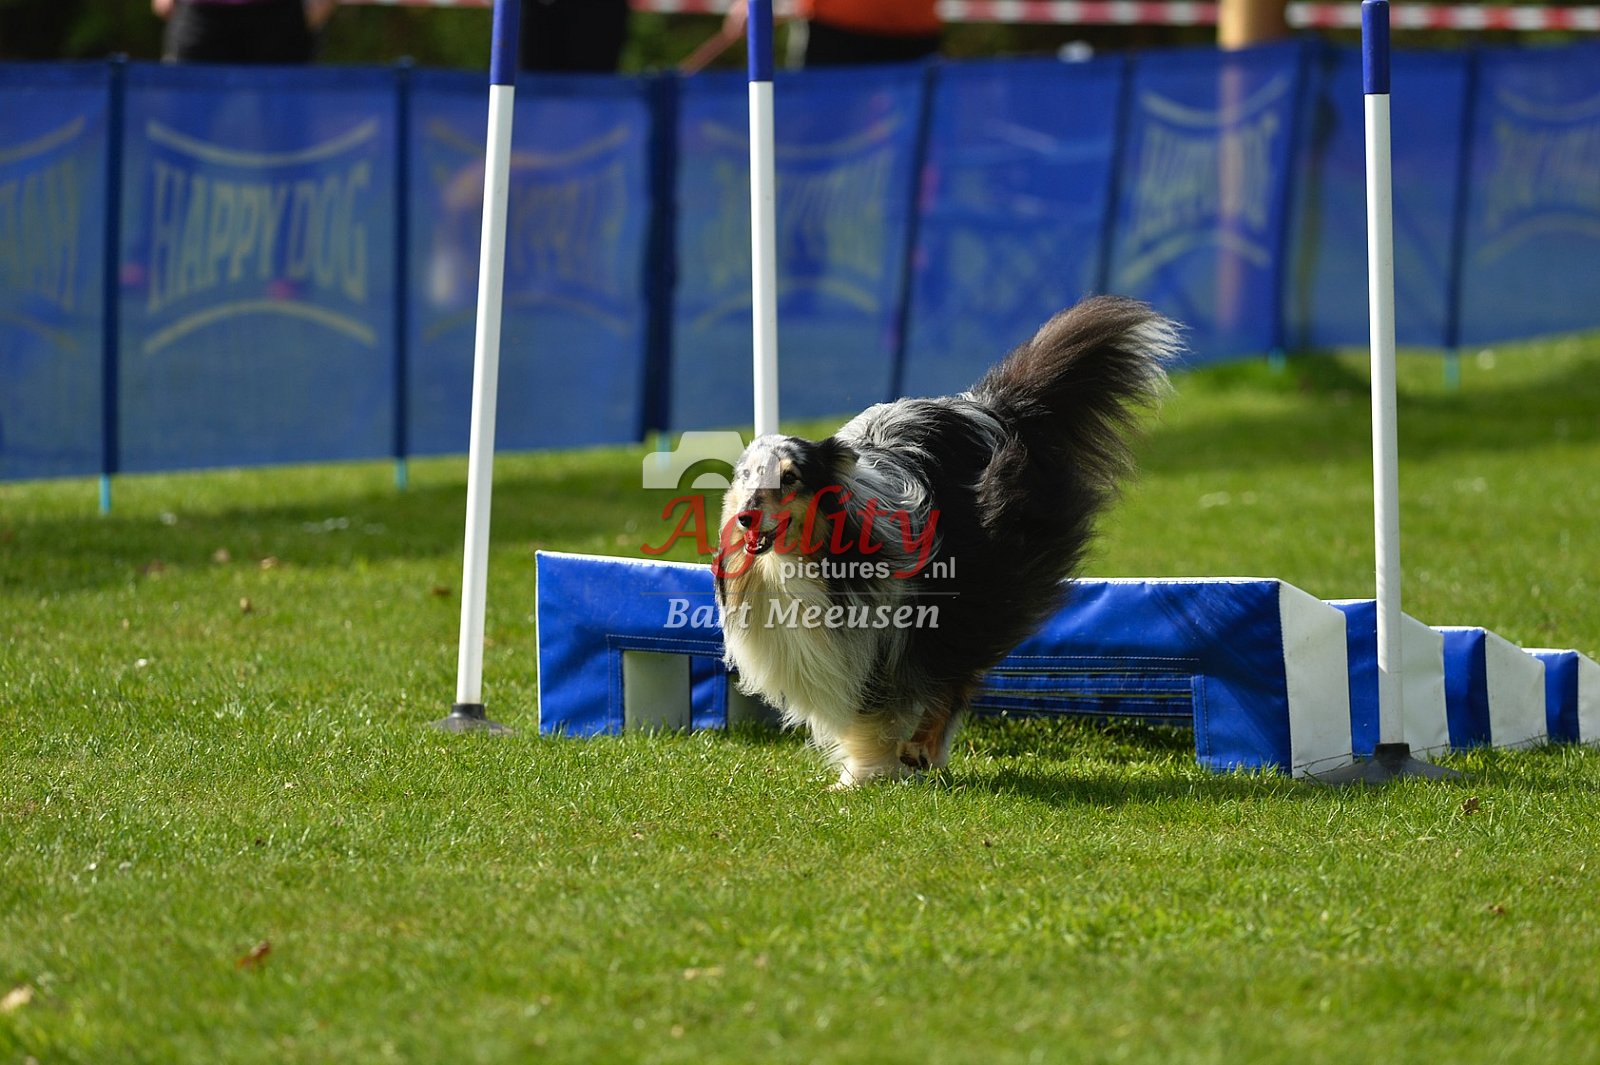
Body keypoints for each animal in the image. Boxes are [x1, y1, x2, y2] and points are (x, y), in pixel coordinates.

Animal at [713, 295, 1179, 788]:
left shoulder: (883, 631)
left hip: (976, 586)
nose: (745, 518)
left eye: (791, 478)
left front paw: (861, 776)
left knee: (957, 670)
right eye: (747, 477)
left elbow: (871, 708)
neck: (797, 564)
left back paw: (922, 747)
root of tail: (992, 406)